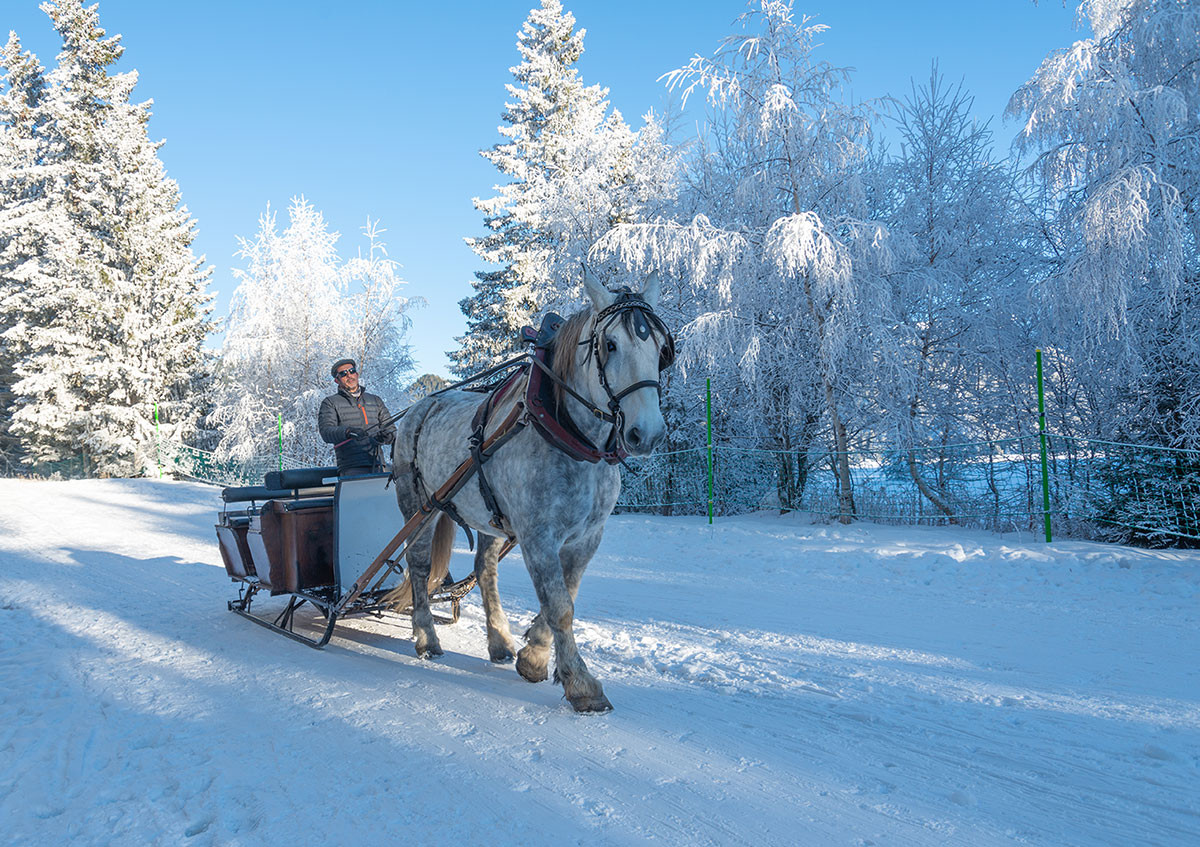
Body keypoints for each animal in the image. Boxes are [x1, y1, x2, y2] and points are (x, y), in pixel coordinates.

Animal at [391, 268, 681, 705]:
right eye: (610, 344)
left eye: (663, 348)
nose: (645, 433)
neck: (573, 440)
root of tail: (420, 406)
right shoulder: (537, 534)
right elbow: (560, 604)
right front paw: (581, 682)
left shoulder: (586, 537)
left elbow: (565, 595)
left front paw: (534, 656)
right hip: (419, 506)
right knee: (420, 564)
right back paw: (426, 637)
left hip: (489, 517)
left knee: (485, 569)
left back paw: (498, 640)